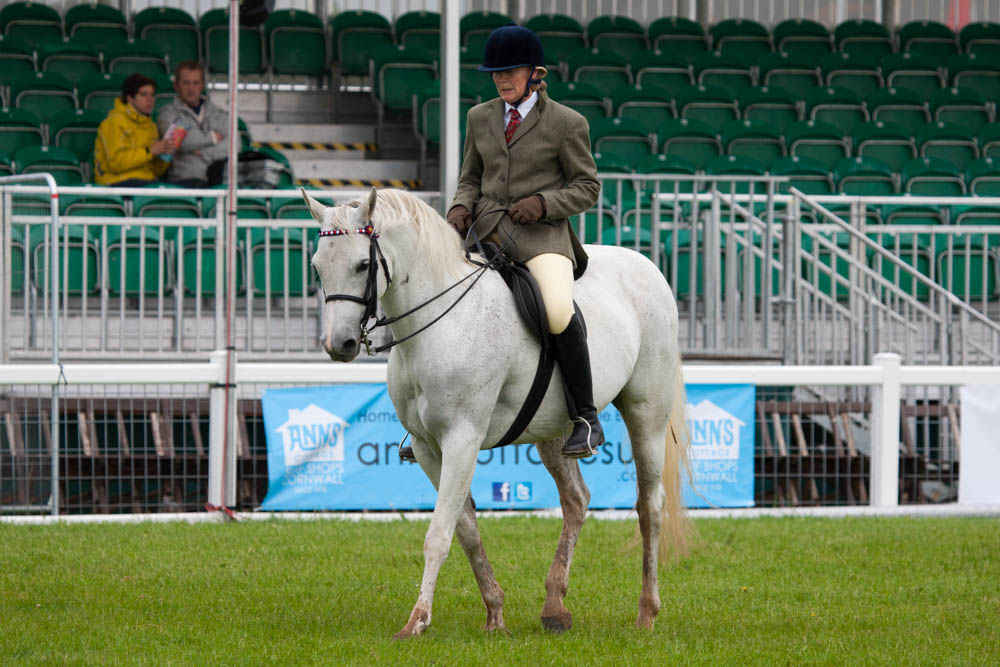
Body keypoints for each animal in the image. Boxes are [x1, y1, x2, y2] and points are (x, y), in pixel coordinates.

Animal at [304, 187, 692, 636]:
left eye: (363, 264)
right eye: (317, 266)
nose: (339, 345)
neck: (439, 324)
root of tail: (646, 265)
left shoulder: (463, 438)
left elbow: (439, 532)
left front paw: (417, 620)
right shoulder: (426, 447)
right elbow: (465, 529)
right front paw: (495, 613)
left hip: (647, 412)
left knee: (650, 506)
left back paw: (647, 612)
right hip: (554, 432)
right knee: (576, 500)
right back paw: (554, 607)